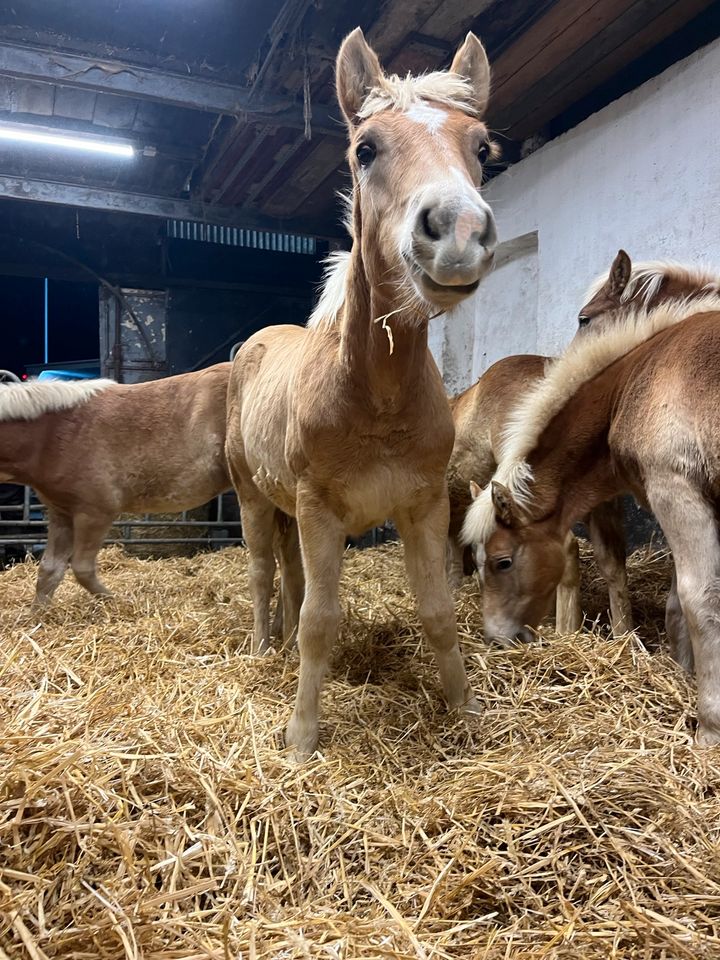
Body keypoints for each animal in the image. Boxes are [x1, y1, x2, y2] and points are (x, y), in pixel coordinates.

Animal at [0, 364, 296, 628]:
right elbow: (49, 570)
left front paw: (118, 603)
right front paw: (36, 619)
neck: (58, 432)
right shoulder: (61, 513)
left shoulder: (94, 513)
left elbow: (83, 569)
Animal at [228, 26, 498, 756]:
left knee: (290, 575)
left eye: (481, 148)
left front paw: (466, 713)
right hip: (255, 501)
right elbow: (321, 619)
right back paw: (263, 647)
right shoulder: (319, 509)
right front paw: (300, 739)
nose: (458, 231)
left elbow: (438, 610)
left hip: (287, 509)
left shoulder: (423, 504)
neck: (375, 398)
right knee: (264, 573)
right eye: (366, 149)